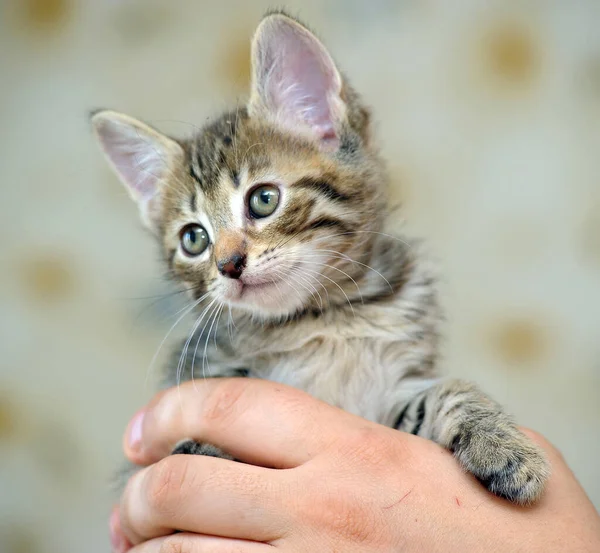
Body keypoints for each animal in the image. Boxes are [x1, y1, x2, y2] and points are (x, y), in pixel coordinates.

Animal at [92, 11, 548, 504]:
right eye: (194, 239)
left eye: (264, 199)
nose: (228, 265)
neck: (323, 320)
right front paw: (203, 450)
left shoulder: (392, 397)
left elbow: (449, 391)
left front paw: (502, 444)